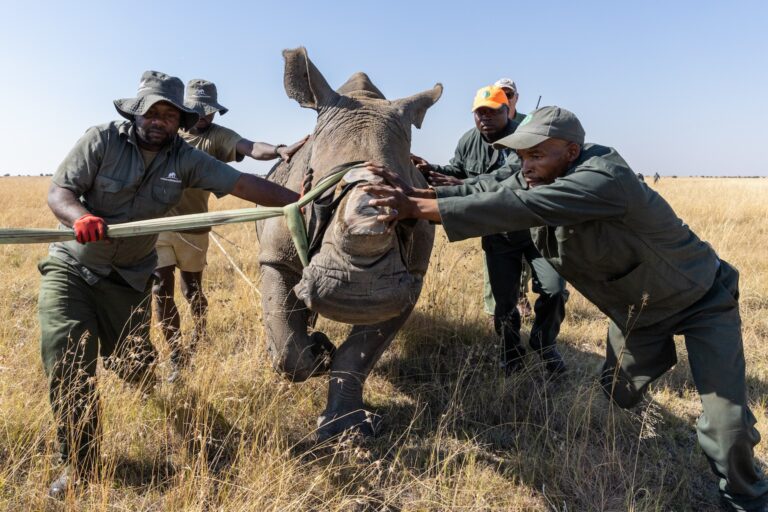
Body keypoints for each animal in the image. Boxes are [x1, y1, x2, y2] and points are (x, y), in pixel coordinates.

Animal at [256, 48, 440, 440]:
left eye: (406, 203)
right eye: (319, 198)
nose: (357, 294)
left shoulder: (411, 279)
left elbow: (358, 355)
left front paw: (348, 429)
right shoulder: (275, 257)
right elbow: (288, 347)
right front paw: (317, 353)